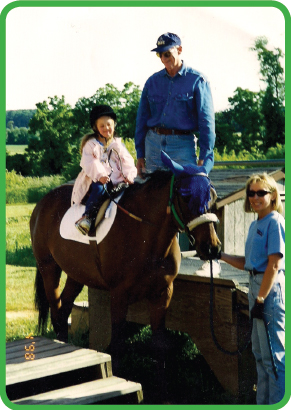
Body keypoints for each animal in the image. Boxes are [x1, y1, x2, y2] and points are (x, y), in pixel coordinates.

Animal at [30, 154, 221, 374]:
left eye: (213, 197)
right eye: (186, 197)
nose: (212, 248)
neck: (145, 235)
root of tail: (43, 202)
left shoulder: (162, 293)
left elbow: (159, 346)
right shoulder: (119, 295)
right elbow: (118, 345)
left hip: (76, 275)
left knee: (63, 312)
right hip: (49, 269)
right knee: (56, 312)